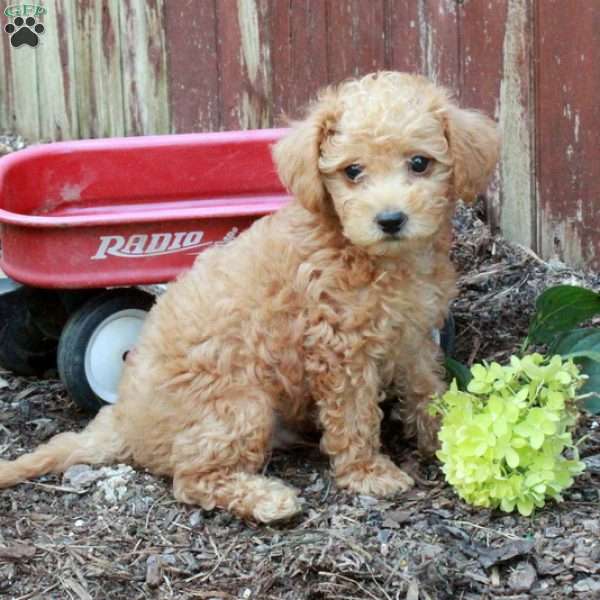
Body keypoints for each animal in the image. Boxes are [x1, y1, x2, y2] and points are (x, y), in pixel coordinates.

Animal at [0, 72, 500, 524]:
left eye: (419, 163)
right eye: (353, 172)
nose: (390, 219)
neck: (377, 259)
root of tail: (124, 420)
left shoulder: (413, 336)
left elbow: (426, 390)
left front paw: (449, 435)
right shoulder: (340, 352)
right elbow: (354, 416)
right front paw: (368, 473)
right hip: (240, 406)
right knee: (192, 479)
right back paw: (268, 500)